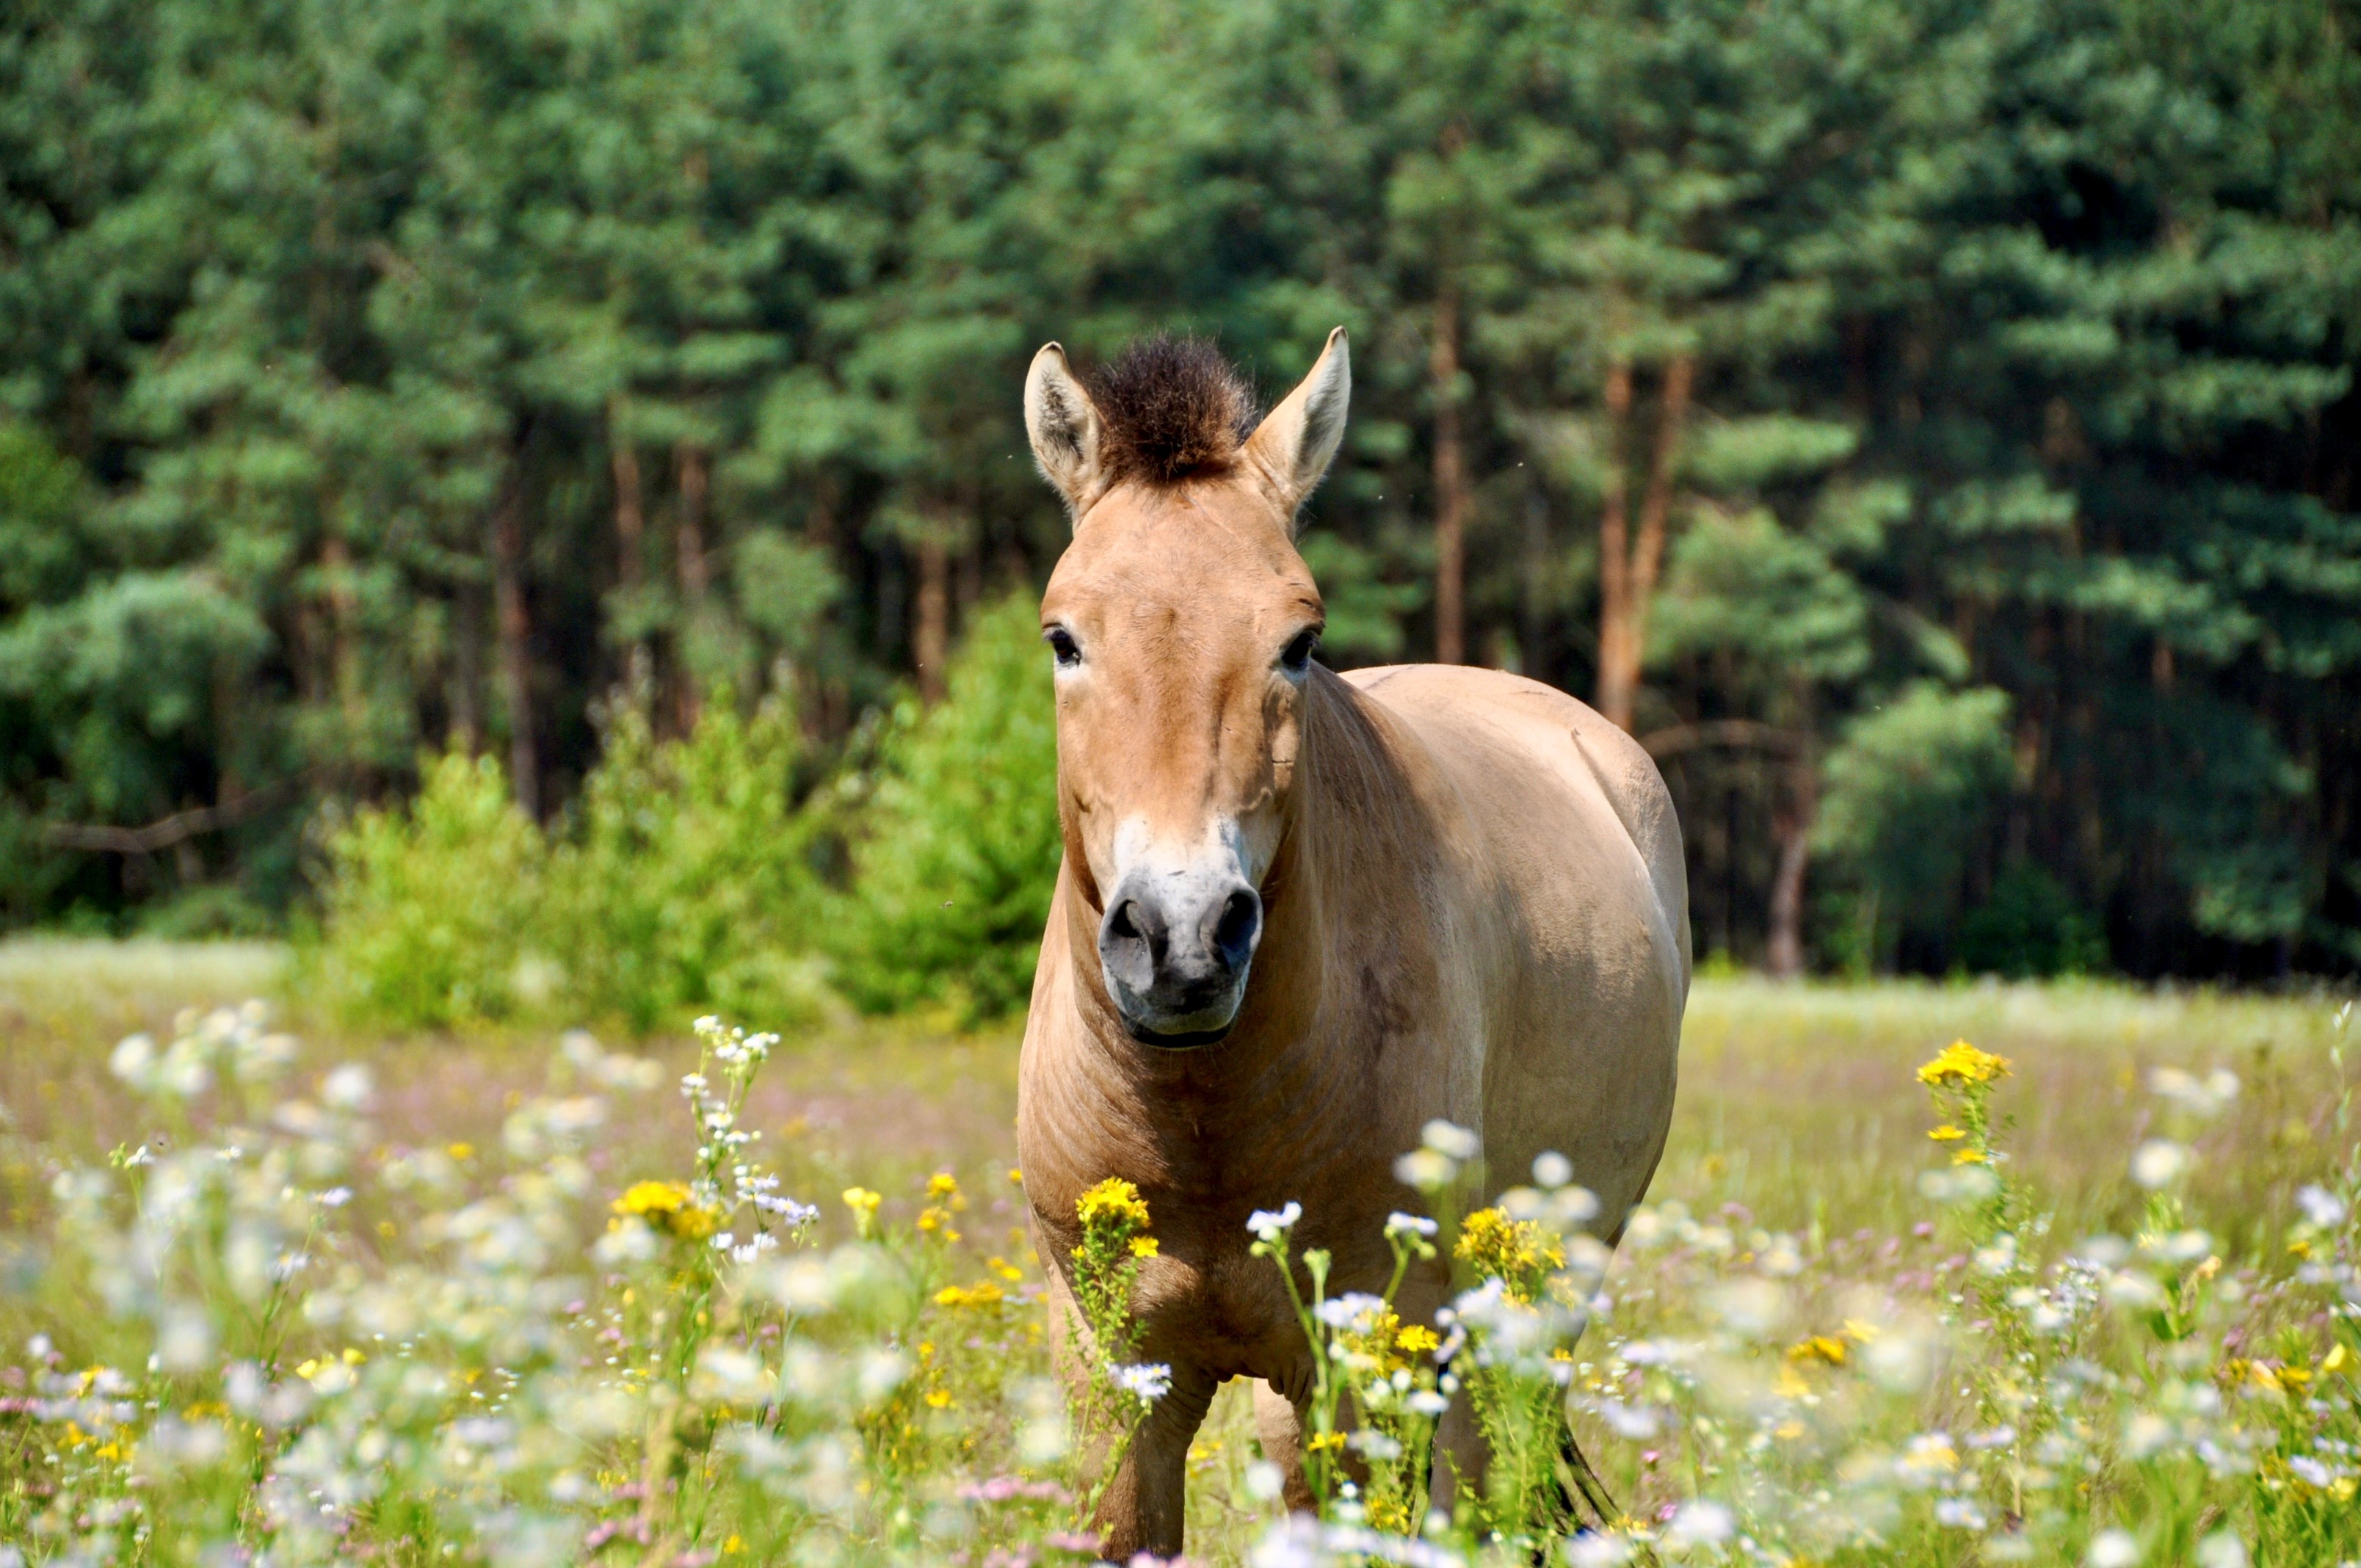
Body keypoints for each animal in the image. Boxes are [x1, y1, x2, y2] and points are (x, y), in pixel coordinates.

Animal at [1006, 330, 1690, 1558]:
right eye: (1063, 638)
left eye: (1299, 641)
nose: (1183, 938)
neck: (1207, 1126)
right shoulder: (1110, 1377)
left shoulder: (1366, 1364)